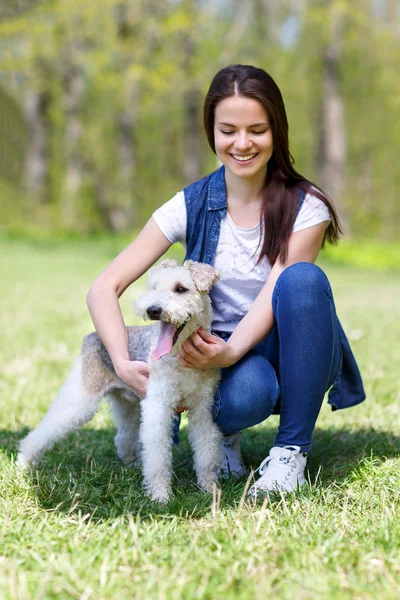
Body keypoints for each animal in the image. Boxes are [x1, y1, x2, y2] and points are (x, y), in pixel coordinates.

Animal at [18, 260, 222, 504]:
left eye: (181, 289)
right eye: (154, 287)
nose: (153, 310)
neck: (181, 357)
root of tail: (91, 336)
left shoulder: (202, 410)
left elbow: (206, 453)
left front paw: (210, 490)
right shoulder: (158, 407)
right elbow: (158, 456)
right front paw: (160, 497)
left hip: (129, 405)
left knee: (122, 438)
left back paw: (133, 465)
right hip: (80, 400)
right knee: (40, 433)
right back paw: (24, 464)